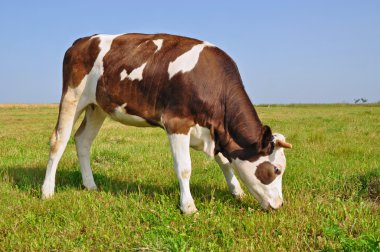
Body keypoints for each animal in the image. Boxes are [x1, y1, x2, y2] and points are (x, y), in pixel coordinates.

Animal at [41, 32, 290, 214]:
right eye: (276, 170)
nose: (279, 205)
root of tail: (82, 40)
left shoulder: (211, 131)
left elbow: (226, 162)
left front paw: (236, 192)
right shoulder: (177, 123)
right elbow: (184, 168)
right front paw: (188, 207)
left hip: (97, 107)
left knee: (82, 140)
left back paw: (90, 185)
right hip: (72, 96)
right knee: (58, 141)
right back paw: (47, 191)